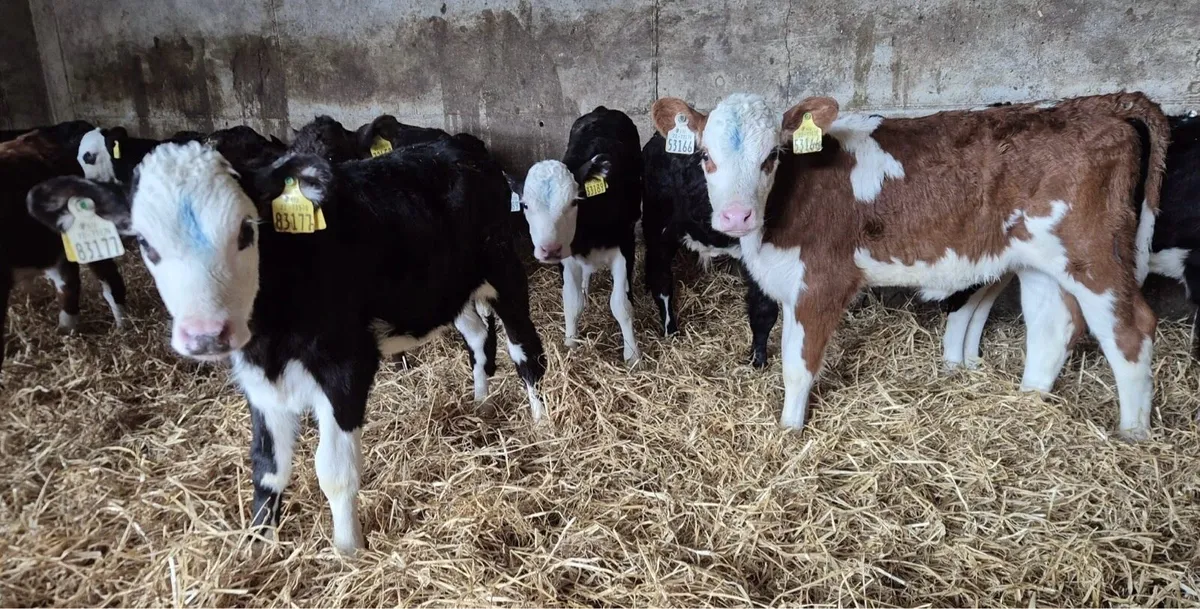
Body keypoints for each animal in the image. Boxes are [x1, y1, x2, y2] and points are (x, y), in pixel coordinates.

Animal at [28, 130, 547, 553]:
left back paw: (542, 422)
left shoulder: (347, 367)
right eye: (145, 244)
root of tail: (460, 147)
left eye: (246, 230)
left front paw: (348, 552)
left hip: (505, 269)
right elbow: (266, 469)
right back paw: (480, 401)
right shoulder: (259, 380)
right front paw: (259, 550)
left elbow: (334, 472)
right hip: (448, 292)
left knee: (525, 351)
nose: (206, 334)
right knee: (478, 338)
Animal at [515, 106, 643, 364]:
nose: (549, 249)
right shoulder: (566, 257)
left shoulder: (625, 246)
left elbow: (621, 304)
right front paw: (571, 344)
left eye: (574, 202)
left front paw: (632, 354)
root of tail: (603, 110)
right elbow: (572, 302)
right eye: (524, 205)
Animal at [642, 132, 780, 367]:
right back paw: (671, 331)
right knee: (660, 280)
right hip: (657, 227)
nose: (737, 215)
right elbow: (763, 310)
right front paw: (758, 361)